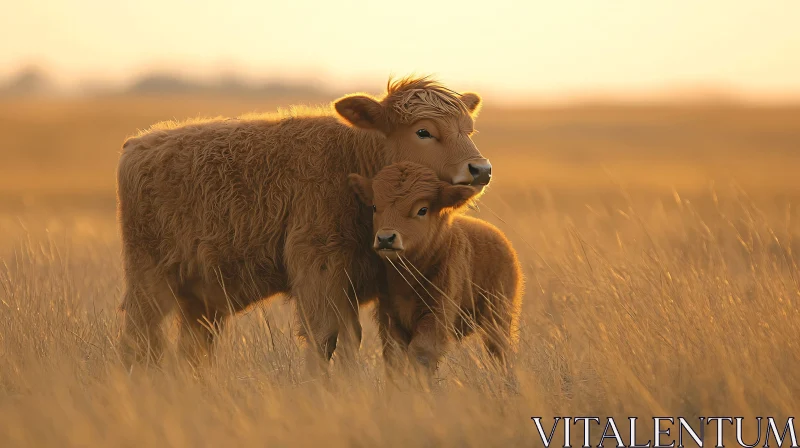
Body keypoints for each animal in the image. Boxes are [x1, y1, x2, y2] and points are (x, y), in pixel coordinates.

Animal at [115, 77, 490, 372]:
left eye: (468, 130)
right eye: (423, 131)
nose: (480, 169)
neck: (351, 157)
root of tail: (137, 144)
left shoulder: (356, 283)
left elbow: (353, 338)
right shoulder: (318, 269)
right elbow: (324, 337)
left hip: (201, 301)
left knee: (191, 348)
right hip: (149, 284)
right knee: (139, 341)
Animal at [346, 161, 520, 374]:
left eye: (422, 209)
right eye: (374, 206)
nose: (386, 238)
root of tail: (502, 241)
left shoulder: (435, 315)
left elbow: (421, 353)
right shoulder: (390, 316)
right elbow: (394, 357)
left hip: (498, 317)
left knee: (499, 349)